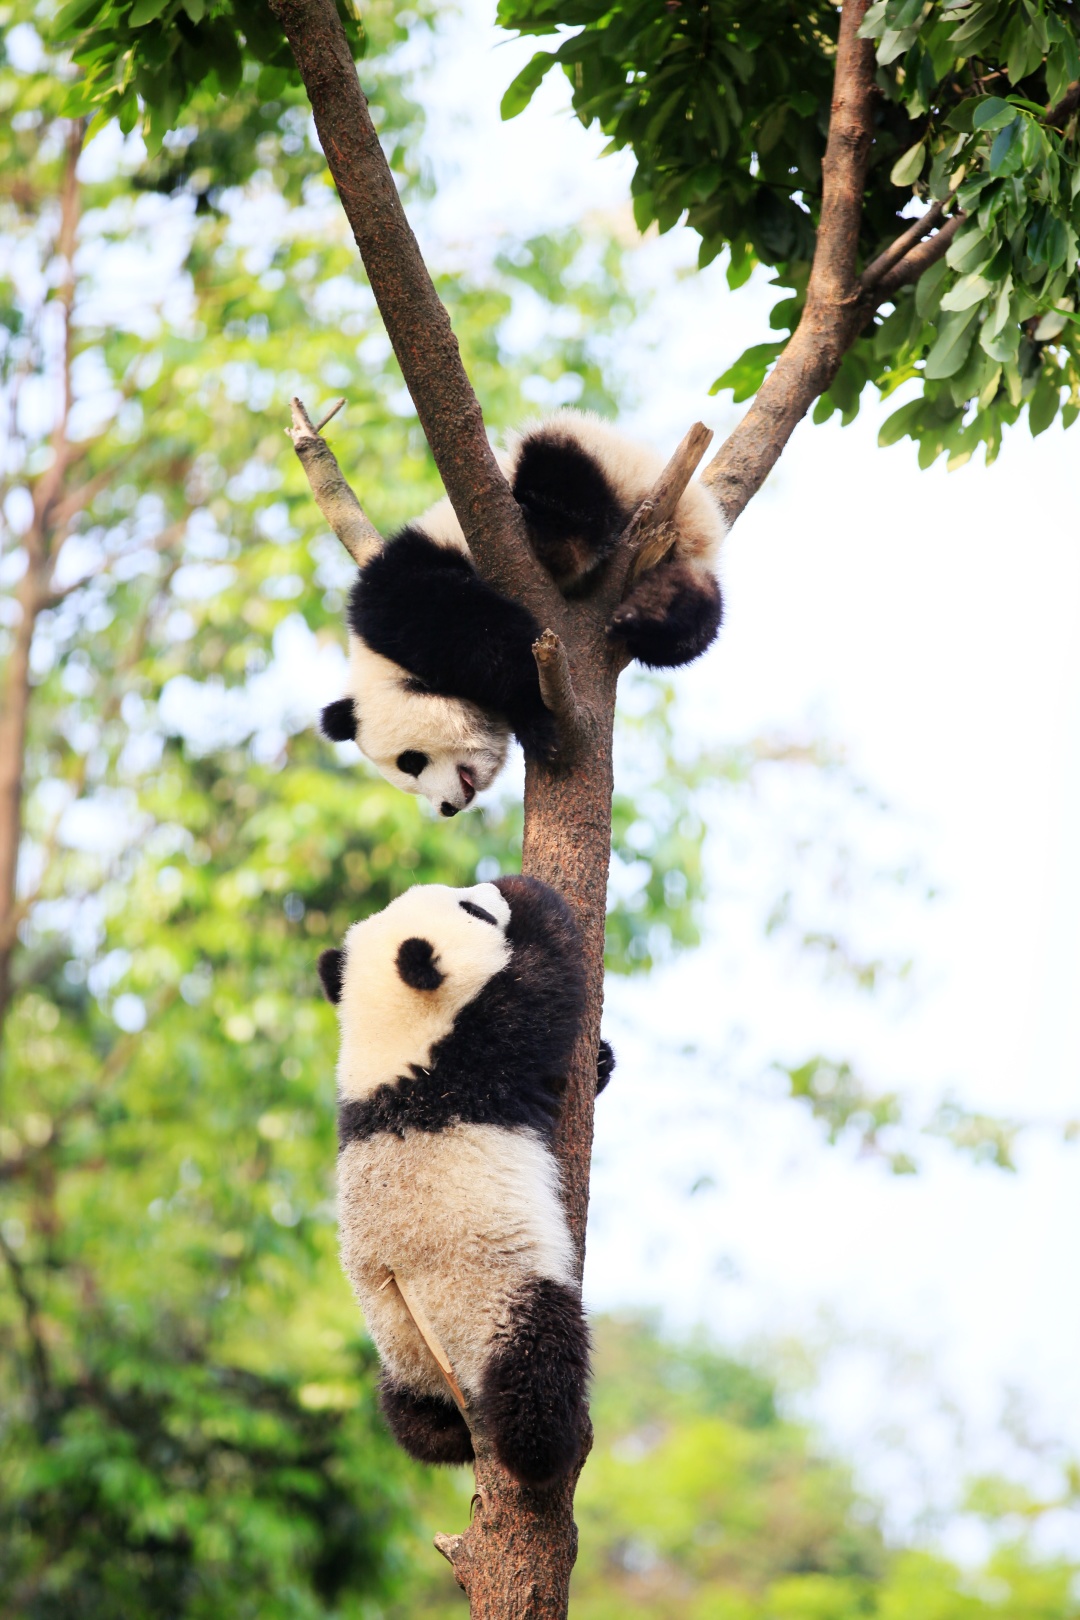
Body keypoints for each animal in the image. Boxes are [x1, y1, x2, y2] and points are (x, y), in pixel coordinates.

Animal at [317, 881, 612, 1483]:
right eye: (472, 909)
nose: (488, 890)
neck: (389, 1045)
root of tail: (444, 1379)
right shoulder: (469, 1060)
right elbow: (539, 992)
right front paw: (534, 899)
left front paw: (602, 1060)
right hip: (494, 1304)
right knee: (539, 1366)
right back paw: (544, 1450)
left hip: (399, 1350)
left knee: (409, 1419)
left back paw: (444, 1434)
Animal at [320, 411, 725, 816]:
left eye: (411, 761)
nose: (446, 808)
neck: (377, 661)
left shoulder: (400, 592)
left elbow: (467, 629)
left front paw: (538, 717)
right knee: (694, 618)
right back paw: (651, 616)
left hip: (606, 458)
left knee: (559, 468)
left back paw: (555, 540)